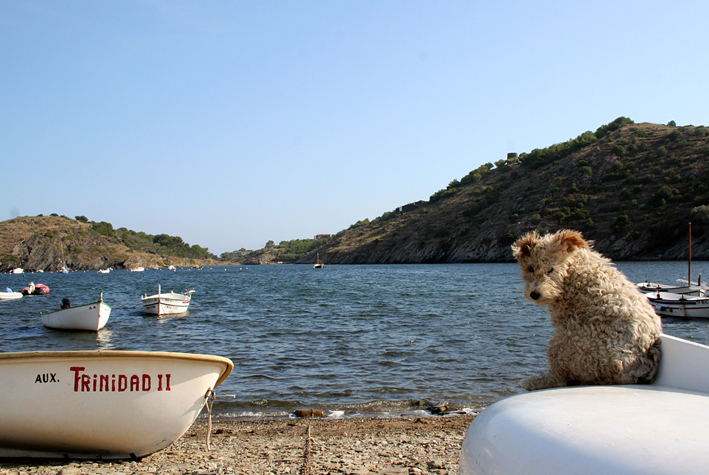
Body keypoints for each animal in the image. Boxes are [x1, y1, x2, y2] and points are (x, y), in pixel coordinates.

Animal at [512, 230, 660, 390]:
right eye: (531, 268)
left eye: (550, 269)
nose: (535, 294)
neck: (572, 269)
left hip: (568, 343)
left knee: (561, 378)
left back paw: (535, 381)